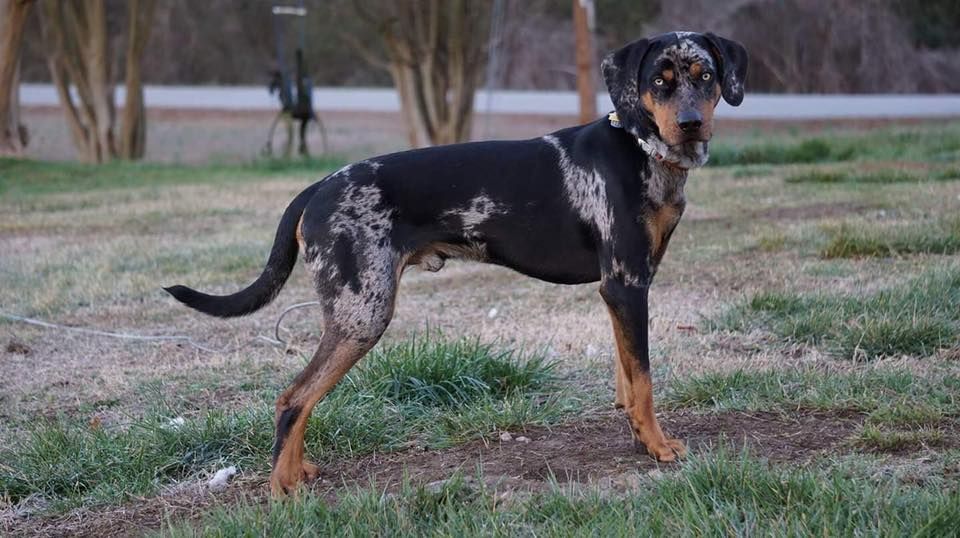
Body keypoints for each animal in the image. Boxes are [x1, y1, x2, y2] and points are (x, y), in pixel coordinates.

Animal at [165, 31, 752, 494]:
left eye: (705, 75)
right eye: (660, 81)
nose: (691, 123)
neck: (639, 147)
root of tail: (316, 188)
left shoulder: (616, 290)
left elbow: (627, 382)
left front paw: (637, 439)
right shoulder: (629, 285)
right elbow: (645, 381)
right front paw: (659, 446)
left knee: (301, 399)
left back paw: (300, 470)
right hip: (363, 313)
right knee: (293, 397)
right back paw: (282, 484)